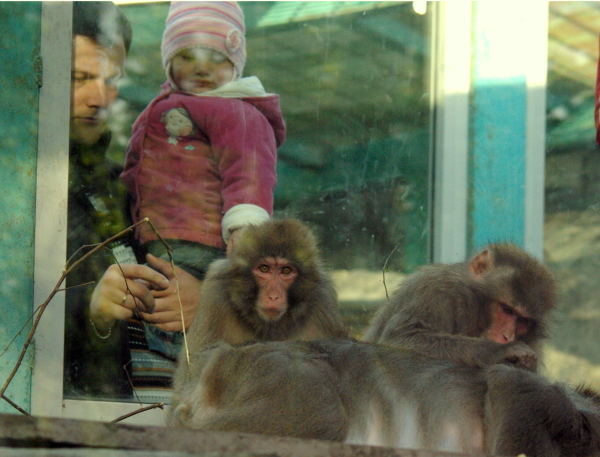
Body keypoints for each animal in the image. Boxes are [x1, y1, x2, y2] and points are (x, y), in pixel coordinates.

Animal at [364, 242, 556, 370]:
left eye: (523, 321)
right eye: (507, 310)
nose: (507, 336)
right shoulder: (435, 293)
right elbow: (399, 339)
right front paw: (499, 350)